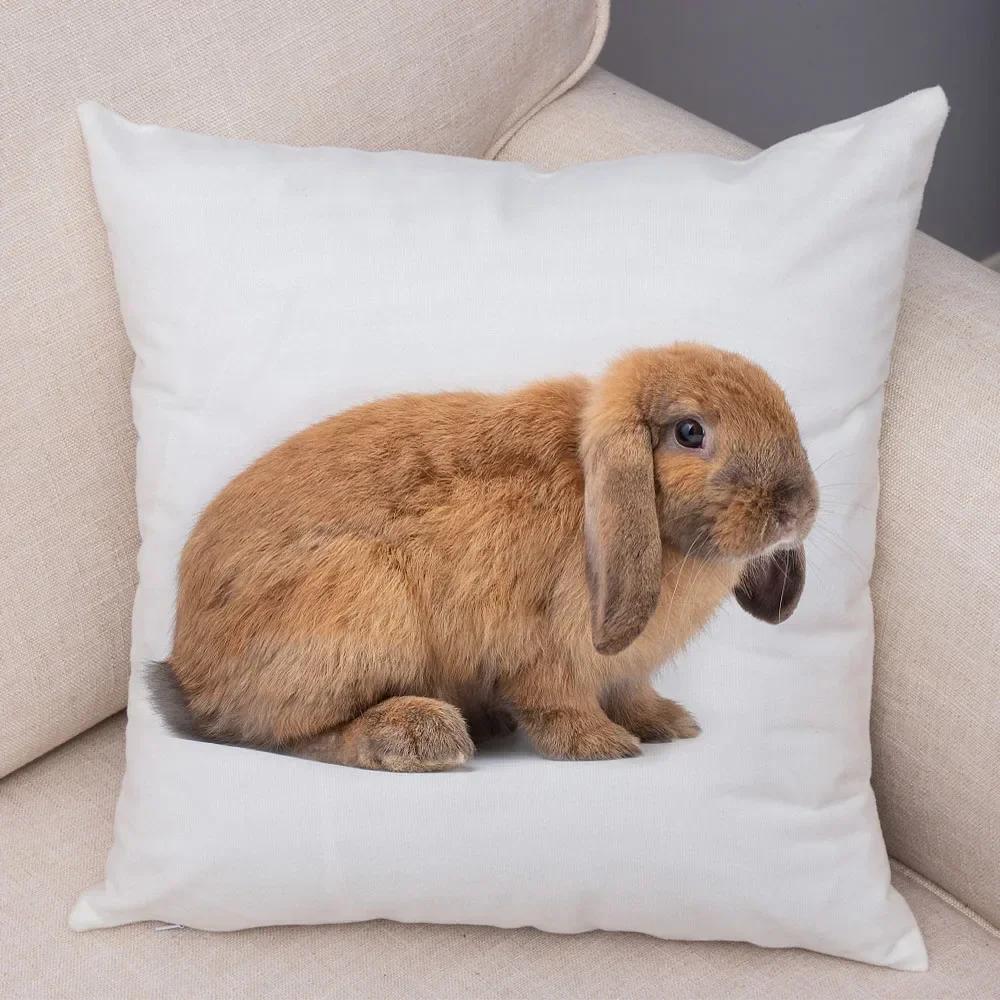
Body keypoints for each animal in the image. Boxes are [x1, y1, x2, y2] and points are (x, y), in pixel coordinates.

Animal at [156, 342, 818, 772]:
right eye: (689, 432)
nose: (796, 509)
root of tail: (188, 670)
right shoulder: (547, 649)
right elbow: (559, 698)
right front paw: (600, 745)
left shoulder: (625, 667)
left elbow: (632, 692)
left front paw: (668, 724)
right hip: (360, 604)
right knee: (282, 736)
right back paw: (421, 738)